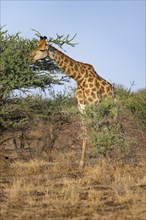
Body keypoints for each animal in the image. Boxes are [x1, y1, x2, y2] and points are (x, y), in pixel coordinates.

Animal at [28, 36, 115, 167]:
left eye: (42, 49)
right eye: (36, 46)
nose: (29, 58)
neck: (80, 79)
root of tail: (114, 91)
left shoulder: (94, 105)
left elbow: (96, 130)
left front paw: (102, 160)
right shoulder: (82, 107)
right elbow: (85, 132)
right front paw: (82, 163)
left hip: (112, 110)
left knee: (112, 128)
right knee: (106, 128)